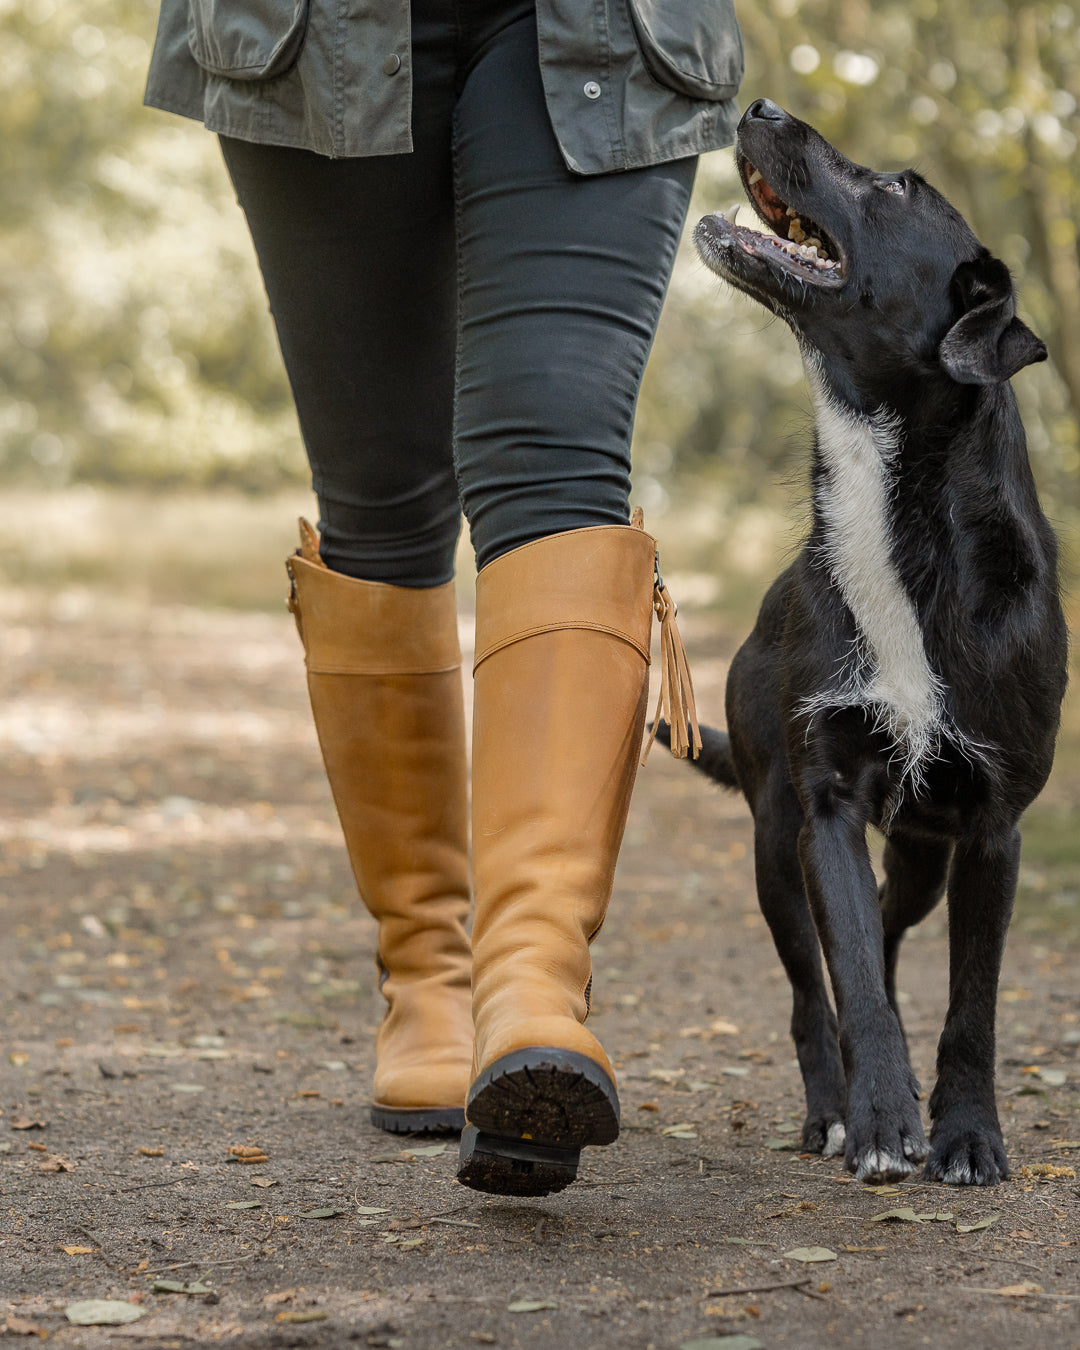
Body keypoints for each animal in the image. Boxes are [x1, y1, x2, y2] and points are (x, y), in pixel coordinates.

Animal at [680, 102, 1069, 1182]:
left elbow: (970, 1006)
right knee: (814, 993)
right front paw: (886, 1121)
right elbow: (850, 974)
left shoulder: (991, 826)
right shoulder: (828, 805)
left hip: (923, 854)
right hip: (775, 843)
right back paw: (833, 1107)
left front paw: (967, 1133)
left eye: (897, 189)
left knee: (896, 941)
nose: (762, 107)